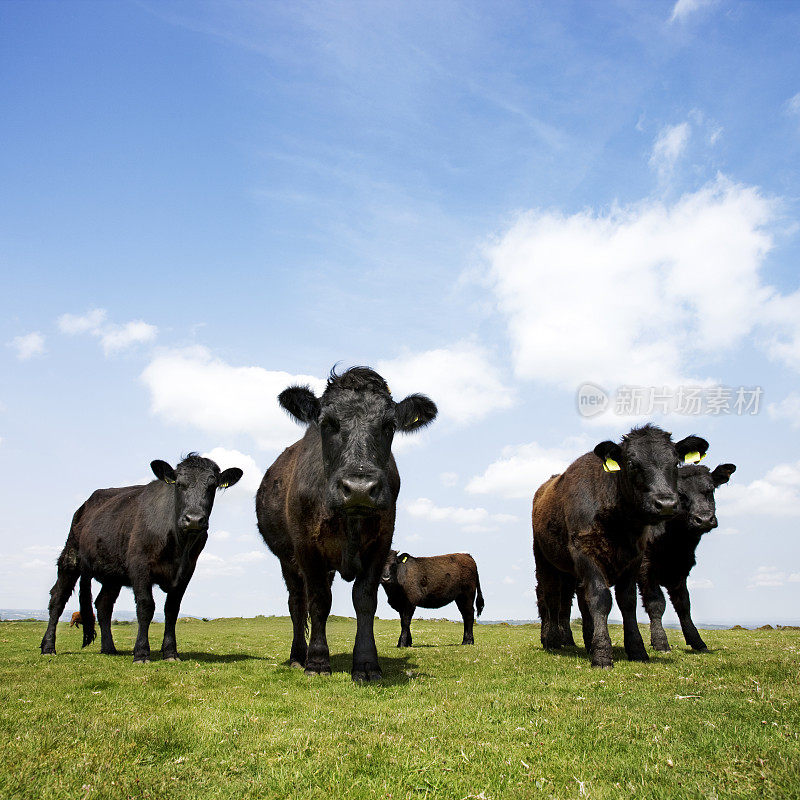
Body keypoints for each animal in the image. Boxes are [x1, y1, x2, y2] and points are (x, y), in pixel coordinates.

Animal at [40, 456, 241, 664]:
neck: (178, 546)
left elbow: (172, 609)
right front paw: (142, 653)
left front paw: (170, 652)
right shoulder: (139, 565)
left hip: (113, 575)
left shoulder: (186, 571)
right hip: (70, 556)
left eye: (212, 486)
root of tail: (85, 505)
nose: (194, 519)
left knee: (103, 605)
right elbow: (146, 606)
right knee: (57, 599)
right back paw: (48, 647)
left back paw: (109, 648)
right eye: (179, 484)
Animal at [260, 368, 438, 680]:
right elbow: (318, 601)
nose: (359, 488)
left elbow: (364, 599)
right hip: (287, 559)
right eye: (327, 423)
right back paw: (298, 656)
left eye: (389, 425)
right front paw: (317, 663)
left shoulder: (381, 543)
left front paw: (367, 665)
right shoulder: (306, 547)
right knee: (297, 602)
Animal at [532, 424, 708, 668]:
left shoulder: (634, 560)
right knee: (550, 598)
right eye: (632, 463)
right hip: (544, 560)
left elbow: (627, 602)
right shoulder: (587, 554)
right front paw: (602, 655)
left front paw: (636, 649)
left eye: (675, 462)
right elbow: (600, 599)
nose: (666, 504)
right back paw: (551, 640)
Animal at [636, 462, 736, 648]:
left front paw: (696, 640)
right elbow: (656, 603)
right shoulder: (645, 568)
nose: (704, 519)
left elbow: (684, 604)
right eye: (681, 494)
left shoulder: (681, 570)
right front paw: (660, 640)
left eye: (710, 489)